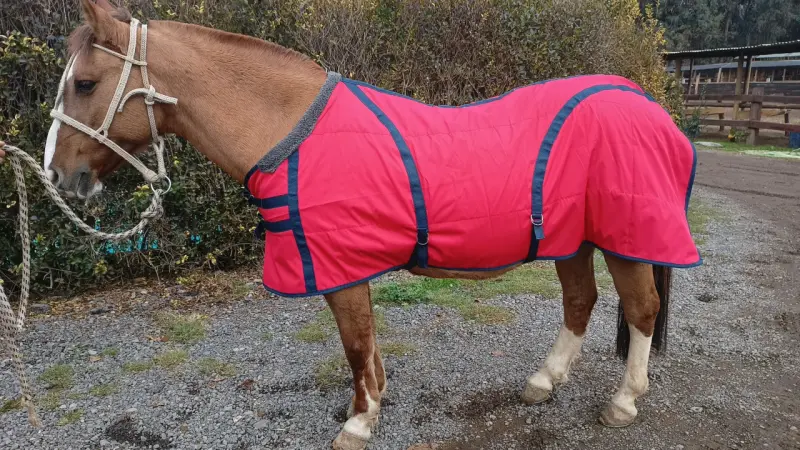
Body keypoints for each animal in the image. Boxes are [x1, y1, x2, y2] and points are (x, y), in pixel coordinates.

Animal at [43, 1, 701, 448]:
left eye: (86, 82)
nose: (57, 175)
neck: (291, 130)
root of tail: (644, 100)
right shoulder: (346, 266)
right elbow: (368, 345)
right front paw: (373, 403)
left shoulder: (341, 268)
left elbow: (357, 344)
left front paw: (359, 422)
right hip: (572, 239)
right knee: (580, 301)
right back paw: (545, 380)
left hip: (624, 240)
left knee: (641, 309)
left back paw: (623, 402)